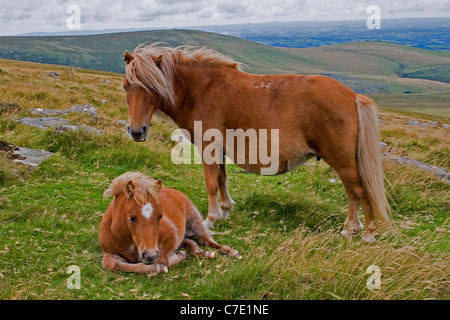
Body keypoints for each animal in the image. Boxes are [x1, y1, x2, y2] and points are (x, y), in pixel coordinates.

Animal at [100, 171, 241, 274]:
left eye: (160, 217)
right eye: (131, 218)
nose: (150, 255)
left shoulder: (170, 235)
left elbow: (163, 260)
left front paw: (177, 257)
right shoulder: (110, 252)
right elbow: (110, 264)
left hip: (193, 217)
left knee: (204, 239)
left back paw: (231, 252)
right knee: (190, 242)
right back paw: (202, 252)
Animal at [122, 43, 390, 242]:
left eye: (152, 87)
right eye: (126, 86)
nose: (136, 131)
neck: (200, 91)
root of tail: (352, 95)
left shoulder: (208, 147)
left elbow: (211, 183)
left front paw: (212, 218)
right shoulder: (219, 149)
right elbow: (221, 178)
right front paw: (226, 209)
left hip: (342, 159)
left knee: (359, 190)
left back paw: (368, 233)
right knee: (351, 192)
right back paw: (351, 228)